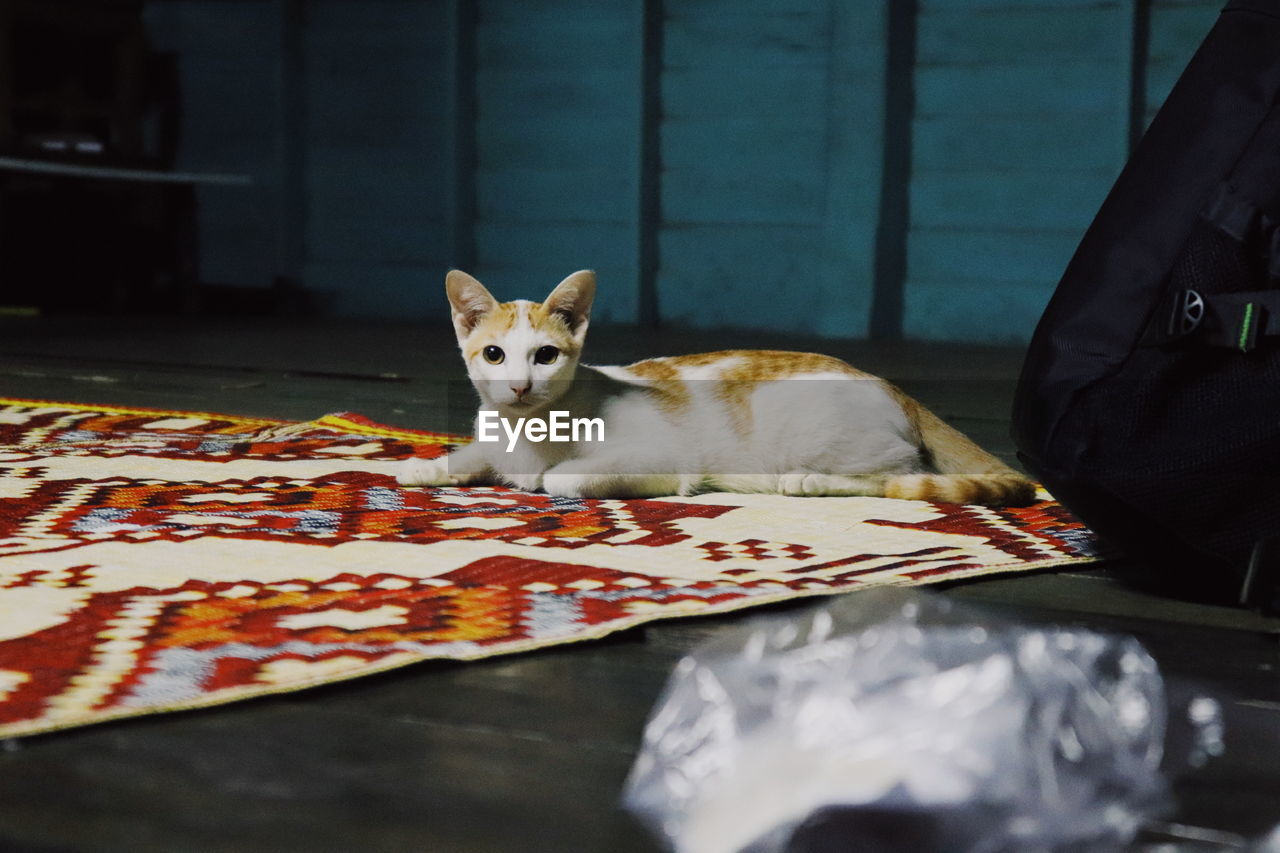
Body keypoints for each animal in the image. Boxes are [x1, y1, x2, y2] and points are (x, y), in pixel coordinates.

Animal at [396, 268, 1039, 504]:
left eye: (546, 355)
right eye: (495, 354)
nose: (520, 387)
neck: (525, 429)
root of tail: (886, 382)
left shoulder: (658, 460)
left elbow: (561, 479)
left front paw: (543, 478)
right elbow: (474, 454)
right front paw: (424, 466)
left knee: (898, 476)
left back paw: (807, 481)